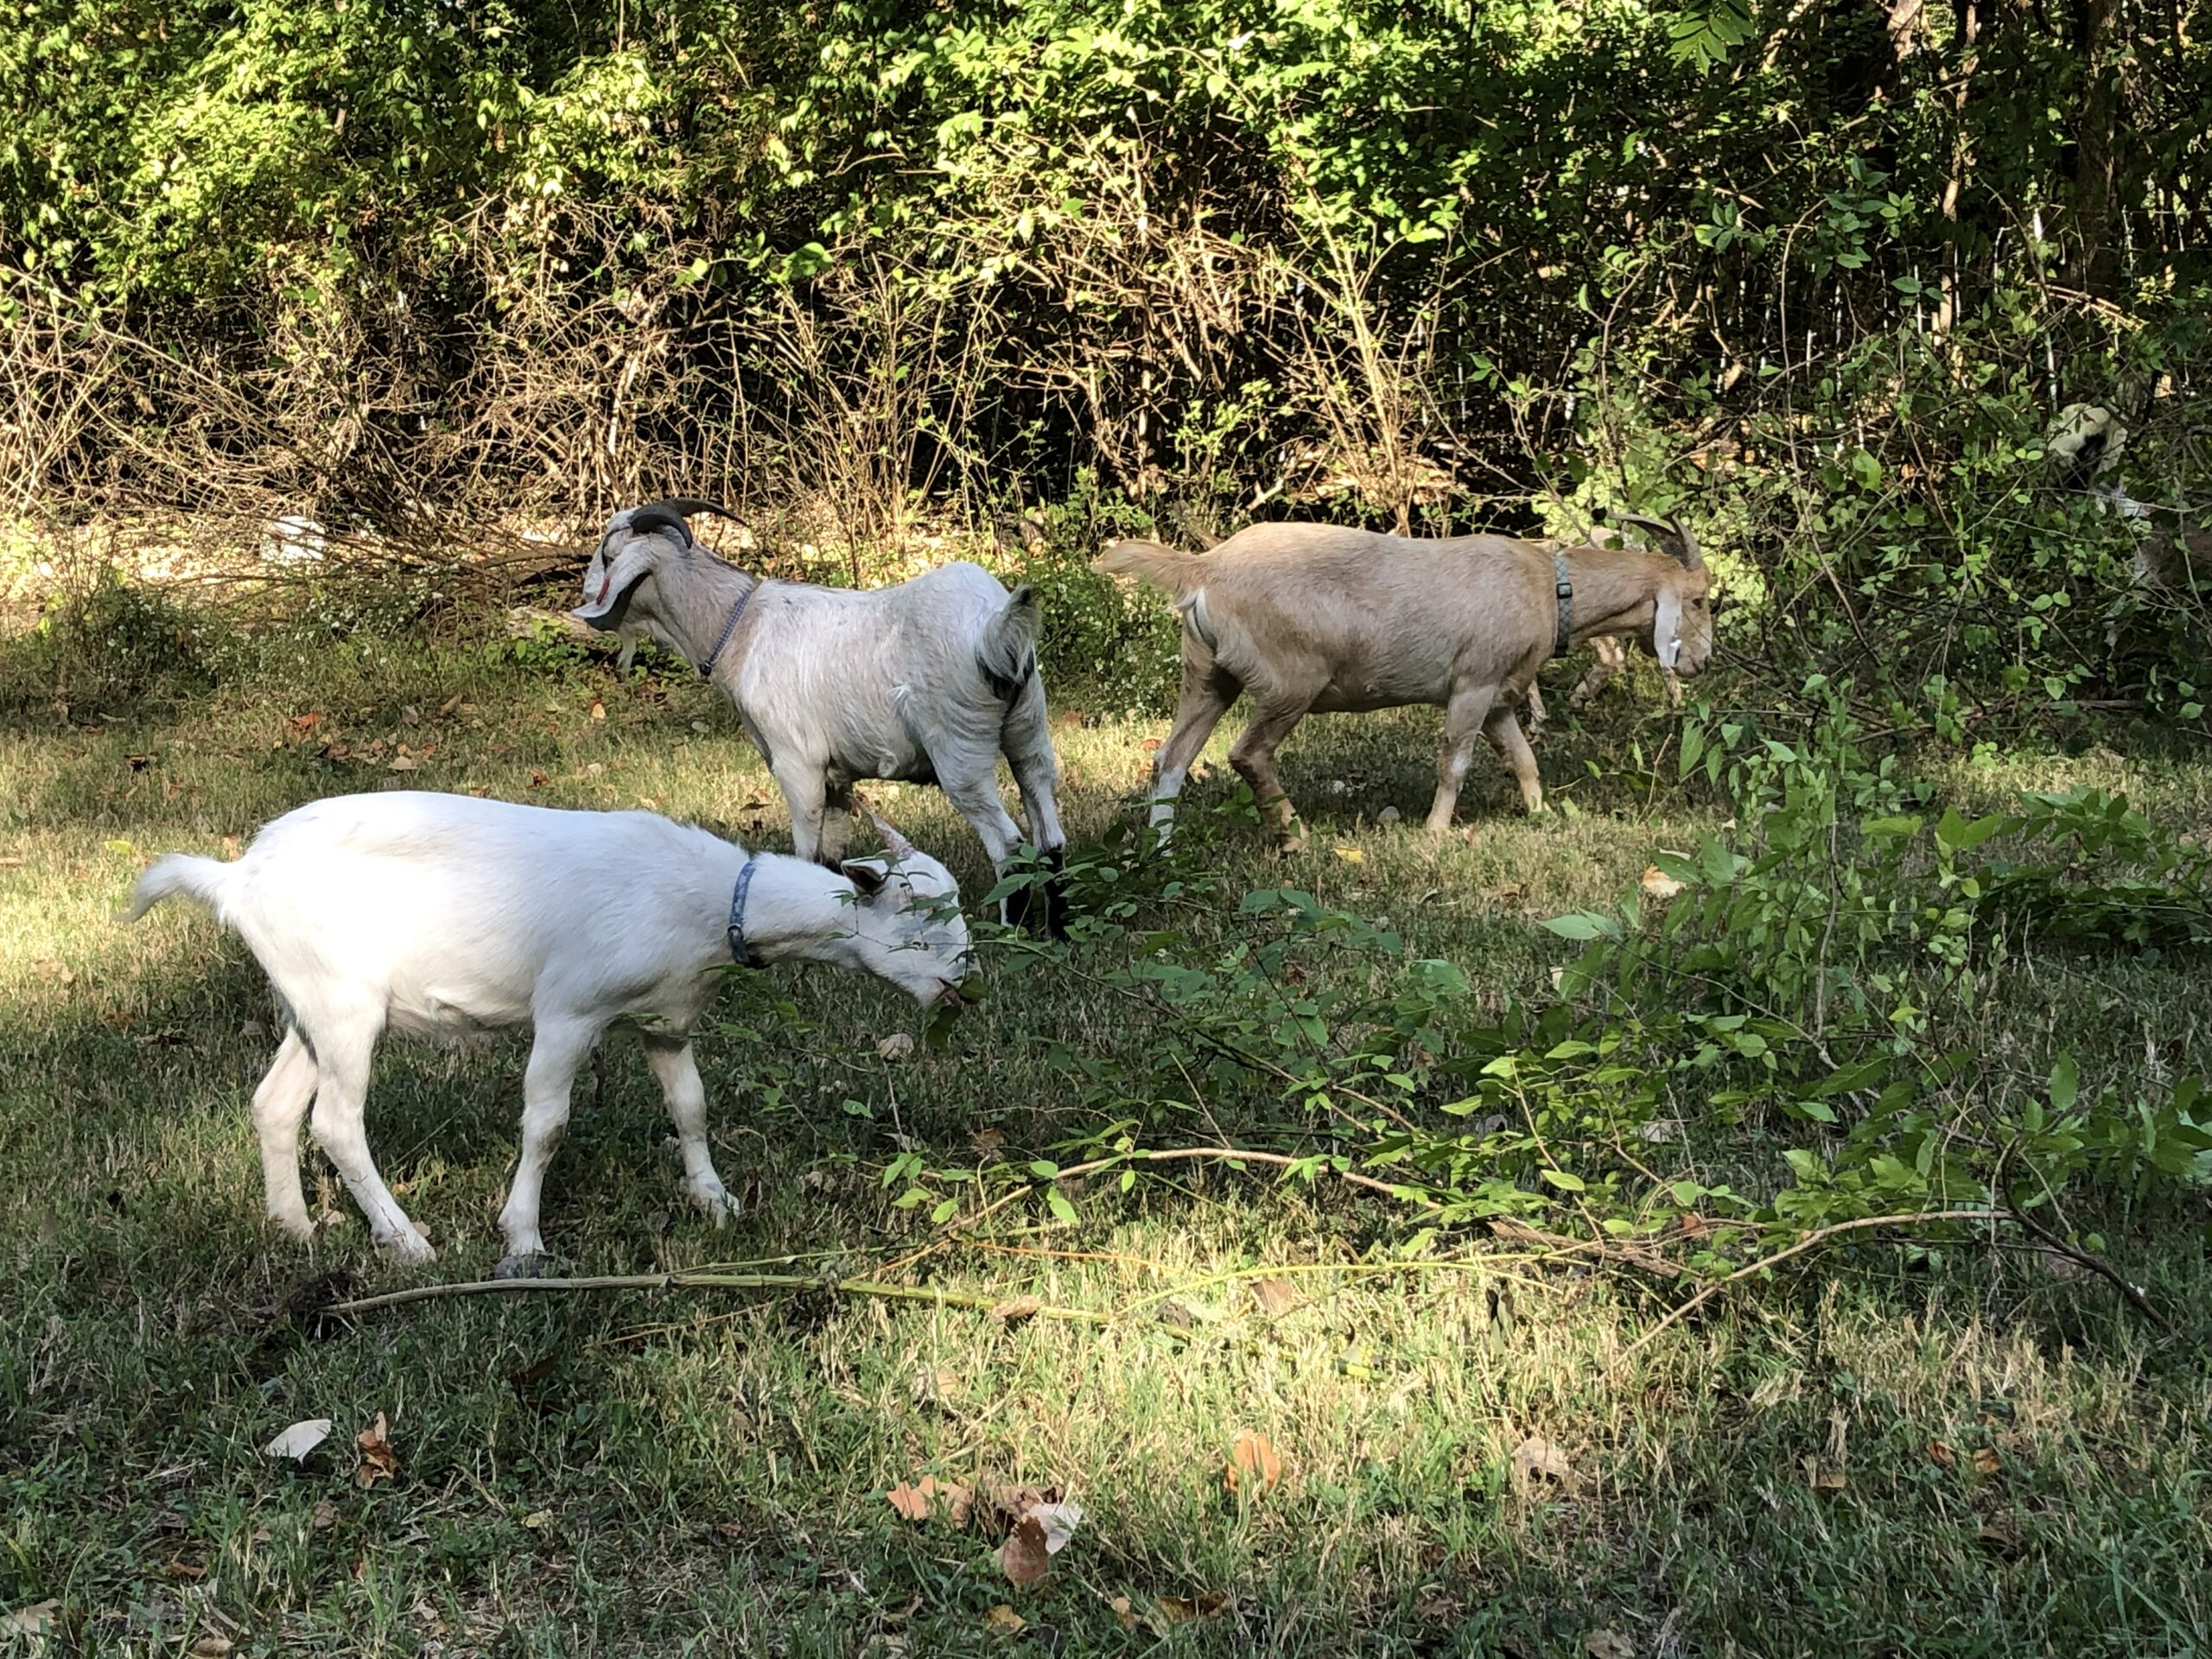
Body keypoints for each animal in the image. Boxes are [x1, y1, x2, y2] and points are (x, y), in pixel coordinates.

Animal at [125, 787, 973, 1274]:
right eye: (918, 915)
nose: (959, 985)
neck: (706, 900)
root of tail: (235, 878)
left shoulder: (665, 1019)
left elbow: (691, 1107)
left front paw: (716, 1200)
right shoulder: (569, 1010)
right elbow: (547, 1125)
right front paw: (523, 1238)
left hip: (307, 1001)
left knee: (274, 1103)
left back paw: (296, 1228)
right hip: (343, 1002)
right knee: (336, 1121)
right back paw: (407, 1243)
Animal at [575, 499, 1065, 929]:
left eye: (608, 554)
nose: (584, 595)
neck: (741, 628)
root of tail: (992, 628)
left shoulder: (797, 762)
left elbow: (808, 852)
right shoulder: (835, 777)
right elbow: (832, 857)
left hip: (959, 750)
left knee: (1009, 843)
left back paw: (1012, 932)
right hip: (1029, 731)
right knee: (1048, 832)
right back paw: (1057, 931)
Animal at [1101, 506, 1707, 844]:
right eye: (1702, 598)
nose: (1700, 662)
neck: (1546, 584)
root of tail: (1204, 567)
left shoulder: (1500, 695)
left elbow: (1523, 758)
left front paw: (1542, 815)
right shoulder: (1472, 684)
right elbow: (1454, 762)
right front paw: (1435, 833)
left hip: (1207, 674)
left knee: (1170, 758)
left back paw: (1160, 849)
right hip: (1291, 680)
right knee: (1248, 754)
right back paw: (1296, 838)